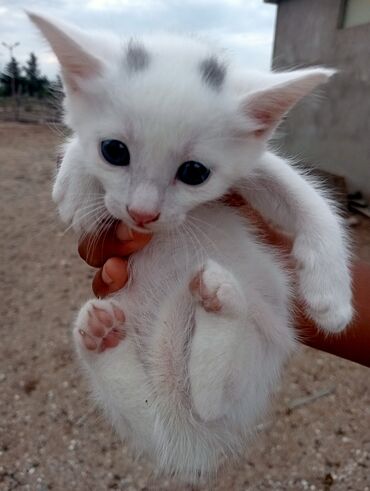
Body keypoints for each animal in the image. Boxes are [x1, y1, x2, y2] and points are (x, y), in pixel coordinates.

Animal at [29, 12, 352, 484]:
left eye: (194, 172)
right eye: (114, 151)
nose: (142, 213)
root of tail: (187, 434)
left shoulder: (251, 164)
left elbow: (304, 196)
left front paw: (331, 296)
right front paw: (75, 182)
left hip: (260, 346)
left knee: (213, 400)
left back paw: (222, 302)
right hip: (145, 397)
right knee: (150, 411)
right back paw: (102, 336)